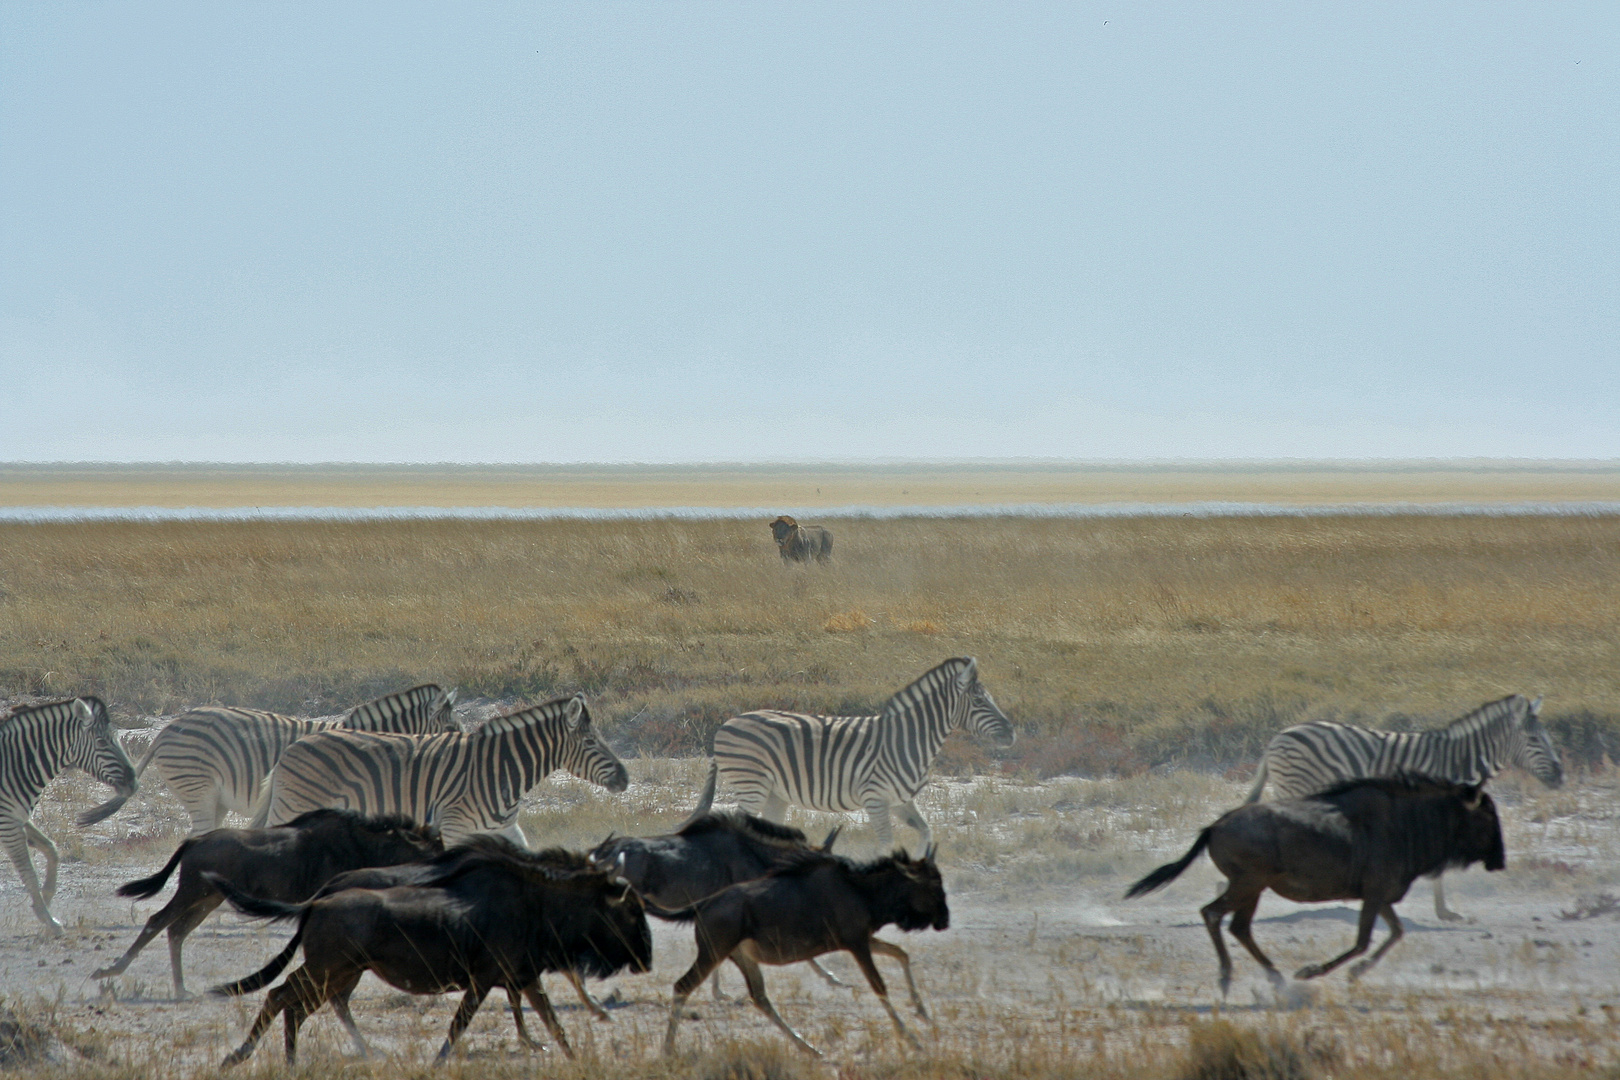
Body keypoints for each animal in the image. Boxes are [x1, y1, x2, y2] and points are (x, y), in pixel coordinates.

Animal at [1, 696, 137, 932]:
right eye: (102, 743)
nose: (134, 783)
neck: (16, 765)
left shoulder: (20, 817)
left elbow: (52, 849)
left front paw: (44, 903)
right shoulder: (8, 823)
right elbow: (29, 872)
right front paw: (49, 921)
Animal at [255, 693, 628, 841]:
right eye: (591, 742)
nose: (625, 778)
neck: (502, 768)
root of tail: (292, 747)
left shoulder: (504, 829)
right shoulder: (454, 825)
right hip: (297, 803)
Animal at [683, 654, 1010, 848]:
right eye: (979, 701)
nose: (1012, 732)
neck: (908, 739)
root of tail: (726, 723)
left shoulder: (901, 801)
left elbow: (926, 833)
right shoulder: (876, 798)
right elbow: (885, 845)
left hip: (775, 793)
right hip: (751, 783)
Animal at [1244, 702, 1561, 919]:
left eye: (1548, 737)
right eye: (1535, 740)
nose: (1561, 776)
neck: (1460, 762)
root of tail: (1278, 738)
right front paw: (1442, 910)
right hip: (1297, 786)